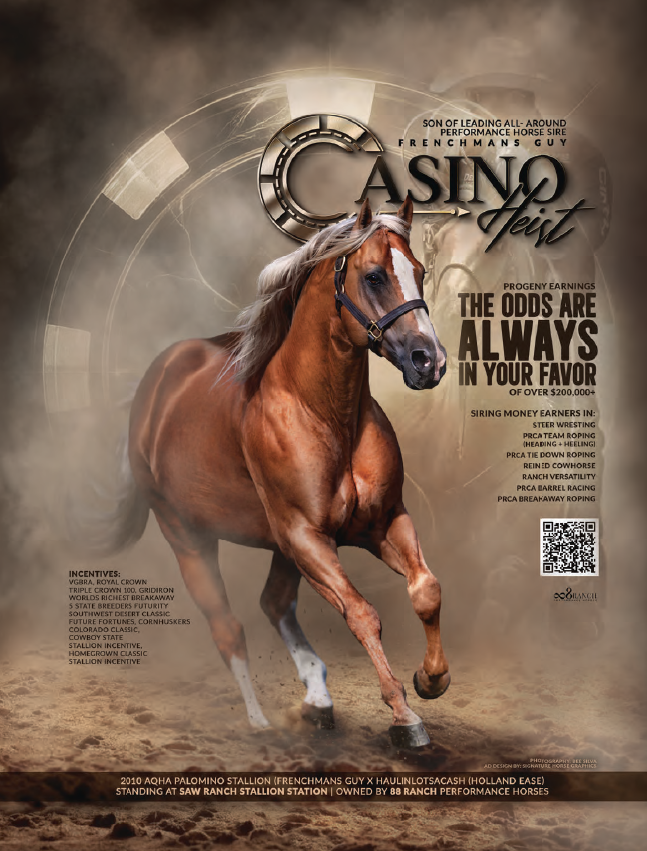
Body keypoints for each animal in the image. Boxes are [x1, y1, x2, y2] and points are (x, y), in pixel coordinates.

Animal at [74, 197, 450, 749]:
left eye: (420, 271)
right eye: (376, 276)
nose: (429, 362)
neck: (324, 413)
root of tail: (153, 388)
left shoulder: (380, 524)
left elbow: (426, 590)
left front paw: (431, 680)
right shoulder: (306, 536)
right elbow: (362, 613)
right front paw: (405, 717)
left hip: (280, 549)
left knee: (273, 604)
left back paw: (317, 701)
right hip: (189, 537)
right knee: (228, 626)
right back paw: (258, 721)